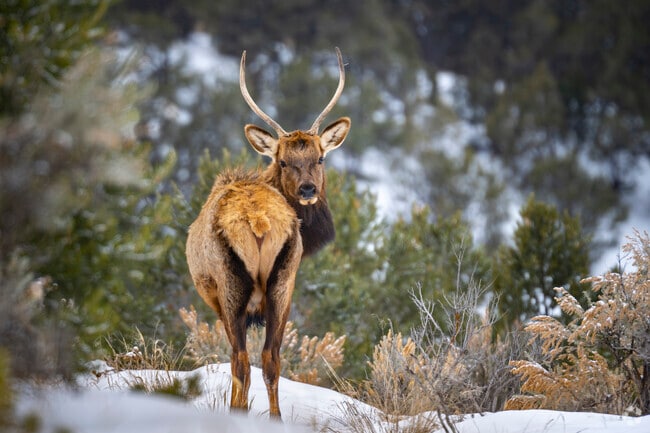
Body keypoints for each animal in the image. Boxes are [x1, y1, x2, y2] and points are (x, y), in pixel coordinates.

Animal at [185, 48, 350, 420]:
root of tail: (258, 220)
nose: (307, 190)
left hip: (232, 286)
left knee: (241, 361)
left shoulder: (219, 300)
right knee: (270, 360)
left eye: (320, 158)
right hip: (282, 284)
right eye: (284, 161)